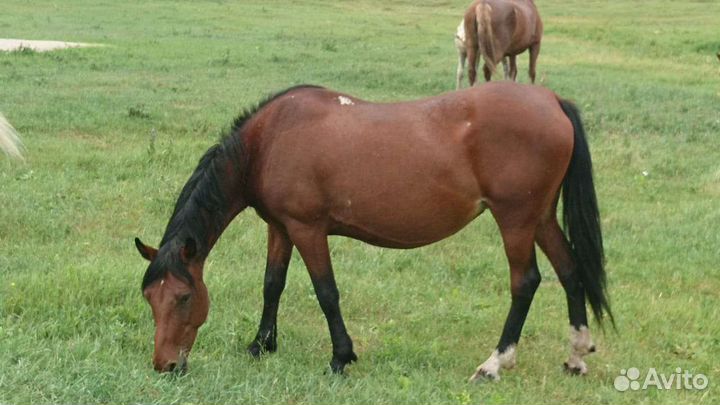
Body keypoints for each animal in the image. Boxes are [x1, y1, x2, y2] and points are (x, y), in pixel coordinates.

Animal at [135, 82, 612, 380]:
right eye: (150, 298)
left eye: (183, 297)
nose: (165, 365)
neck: (268, 140)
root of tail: (552, 100)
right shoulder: (280, 228)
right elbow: (272, 284)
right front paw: (260, 346)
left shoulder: (308, 230)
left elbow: (326, 293)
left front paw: (340, 358)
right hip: (540, 217)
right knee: (571, 273)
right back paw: (575, 356)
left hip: (515, 220)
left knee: (525, 282)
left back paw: (494, 364)